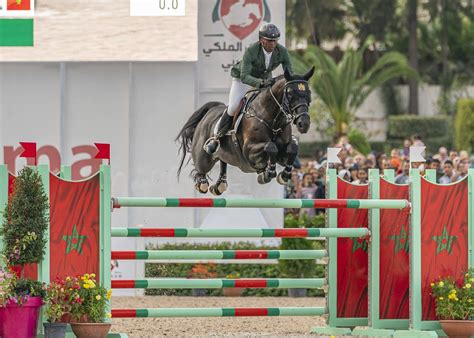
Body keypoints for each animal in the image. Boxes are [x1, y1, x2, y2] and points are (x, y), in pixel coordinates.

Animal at [176, 67, 312, 195]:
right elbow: (270, 146)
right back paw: (202, 182)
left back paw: (219, 185)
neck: (271, 119)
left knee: (222, 162)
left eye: (309, 93)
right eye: (290, 93)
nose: (304, 124)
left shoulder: (282, 154)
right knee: (201, 170)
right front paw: (268, 172)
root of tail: (210, 111)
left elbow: (292, 147)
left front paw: (284, 175)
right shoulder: (249, 151)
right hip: (204, 157)